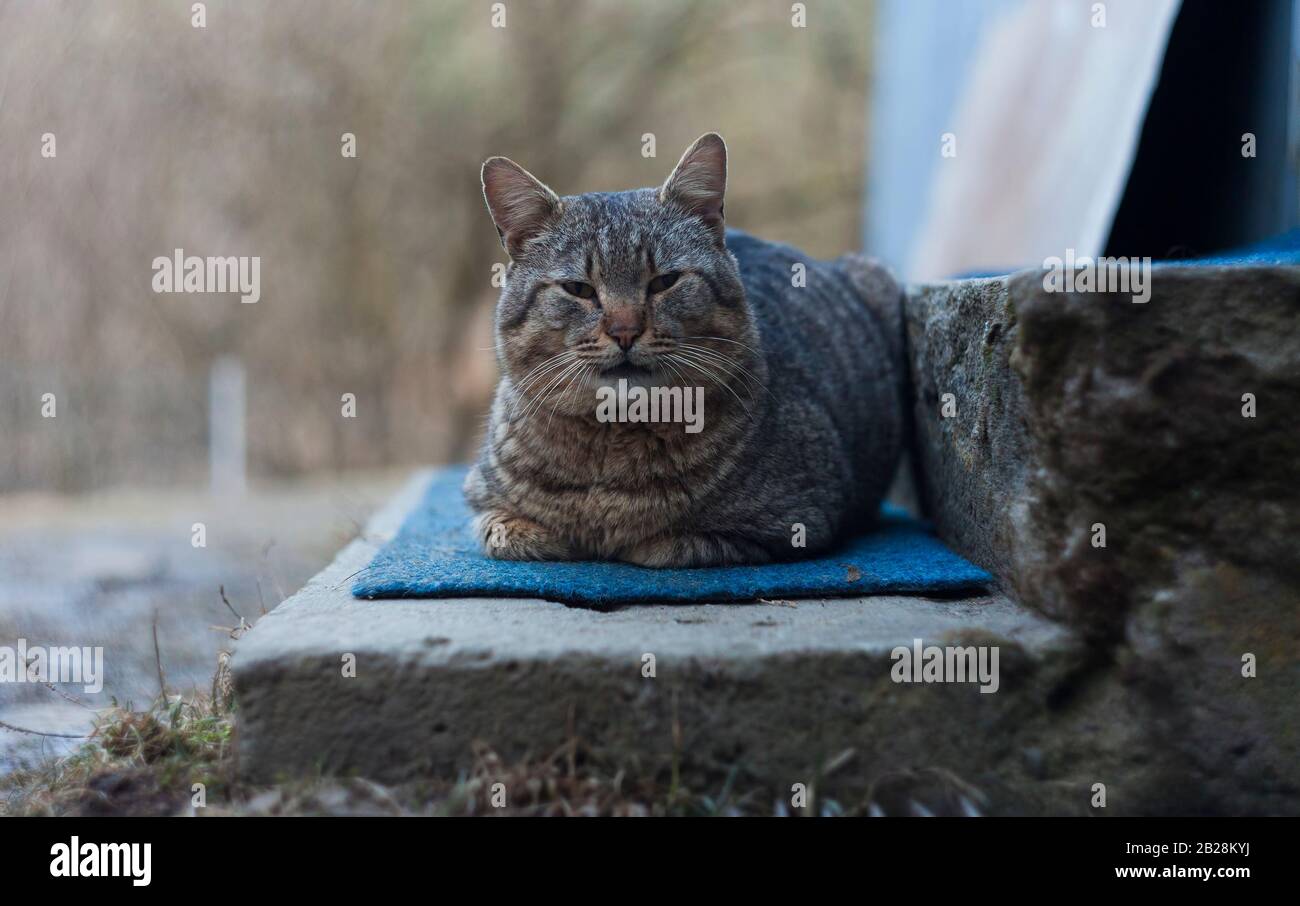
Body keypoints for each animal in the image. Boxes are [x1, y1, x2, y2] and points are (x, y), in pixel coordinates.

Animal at [467, 132, 904, 566]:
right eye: (579, 289)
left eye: (665, 281)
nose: (625, 331)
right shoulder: (485, 504)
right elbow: (514, 530)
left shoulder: (798, 520)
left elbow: (665, 544)